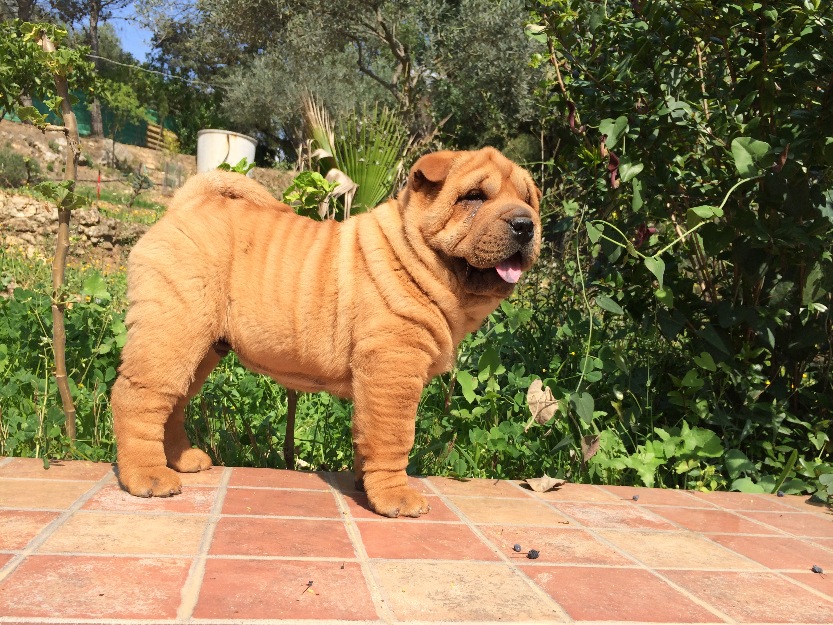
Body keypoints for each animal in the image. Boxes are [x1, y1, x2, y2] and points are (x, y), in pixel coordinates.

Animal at [112, 147, 540, 516]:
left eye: (528, 200)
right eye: (474, 196)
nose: (526, 224)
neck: (416, 259)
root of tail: (183, 206)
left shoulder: (378, 380)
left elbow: (367, 434)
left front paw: (365, 483)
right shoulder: (394, 369)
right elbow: (394, 437)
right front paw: (395, 497)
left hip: (199, 349)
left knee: (172, 403)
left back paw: (183, 460)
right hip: (172, 330)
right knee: (138, 397)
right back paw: (148, 476)